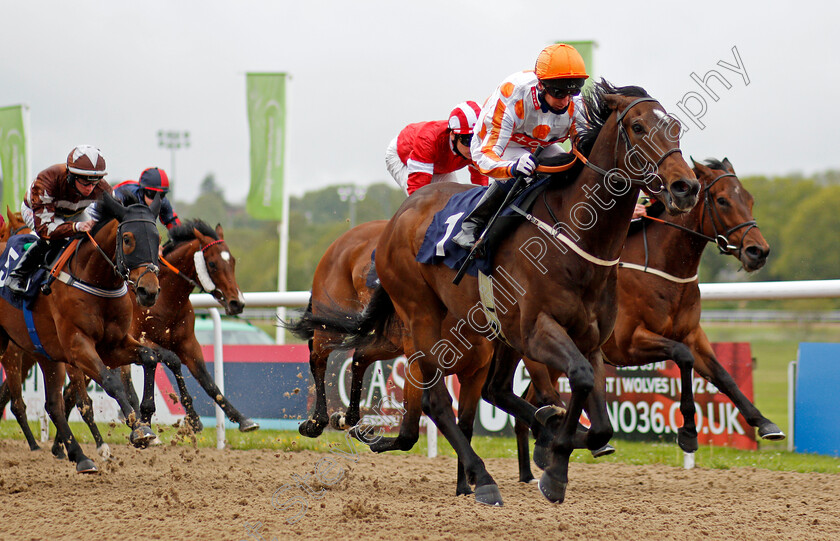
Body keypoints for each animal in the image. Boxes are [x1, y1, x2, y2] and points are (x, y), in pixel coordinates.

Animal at [0, 192, 163, 470]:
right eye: (128, 239)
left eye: (158, 239)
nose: (148, 291)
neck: (96, 280)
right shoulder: (78, 346)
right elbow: (110, 382)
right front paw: (138, 429)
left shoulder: (113, 345)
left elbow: (150, 357)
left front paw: (146, 415)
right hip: (11, 351)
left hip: (45, 353)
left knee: (53, 404)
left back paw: (81, 457)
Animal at [288, 80, 704, 502]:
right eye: (637, 126)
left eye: (676, 128)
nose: (685, 187)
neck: (576, 239)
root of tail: (399, 216)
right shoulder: (537, 331)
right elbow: (580, 379)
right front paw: (553, 467)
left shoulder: (589, 340)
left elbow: (600, 420)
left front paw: (556, 444)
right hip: (419, 314)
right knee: (418, 391)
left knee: (481, 387)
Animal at [516, 156, 776, 480]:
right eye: (723, 200)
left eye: (749, 200)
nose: (758, 251)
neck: (664, 270)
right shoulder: (628, 343)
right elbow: (683, 356)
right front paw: (688, 431)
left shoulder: (693, 334)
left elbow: (723, 375)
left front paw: (764, 422)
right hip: (543, 351)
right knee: (540, 396)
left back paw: (531, 467)